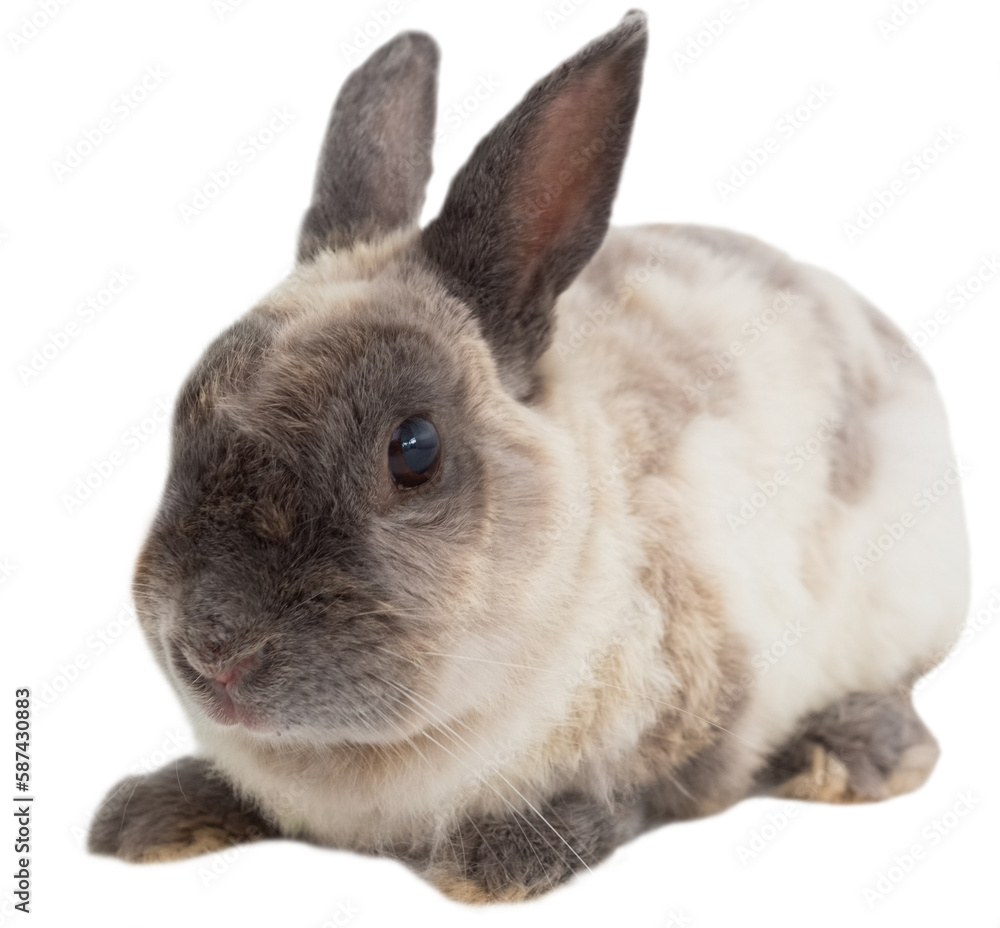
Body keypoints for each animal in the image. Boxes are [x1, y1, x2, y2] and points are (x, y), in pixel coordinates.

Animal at [88, 9, 970, 903]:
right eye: (186, 411)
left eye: (414, 449)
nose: (216, 651)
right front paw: (145, 818)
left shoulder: (709, 711)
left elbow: (635, 795)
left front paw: (501, 861)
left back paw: (852, 754)